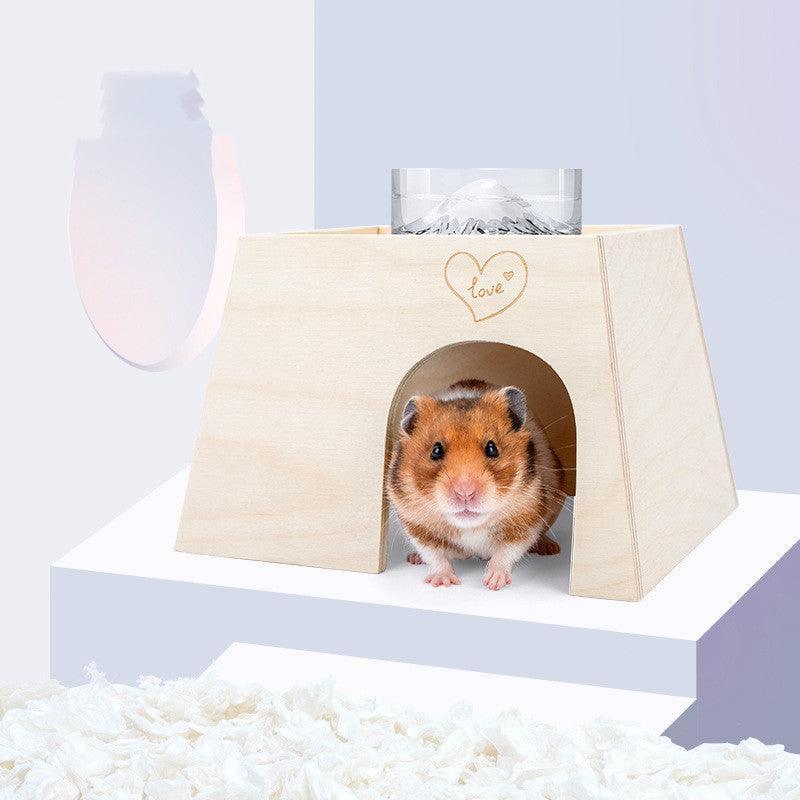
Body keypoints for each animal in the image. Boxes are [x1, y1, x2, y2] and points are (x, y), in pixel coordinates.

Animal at [387, 379, 565, 590]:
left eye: (492, 448)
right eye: (436, 451)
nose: (465, 493)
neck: (469, 526)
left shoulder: (528, 516)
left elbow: (506, 552)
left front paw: (493, 583)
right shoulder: (414, 521)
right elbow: (434, 554)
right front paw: (443, 582)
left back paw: (550, 548)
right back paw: (414, 558)